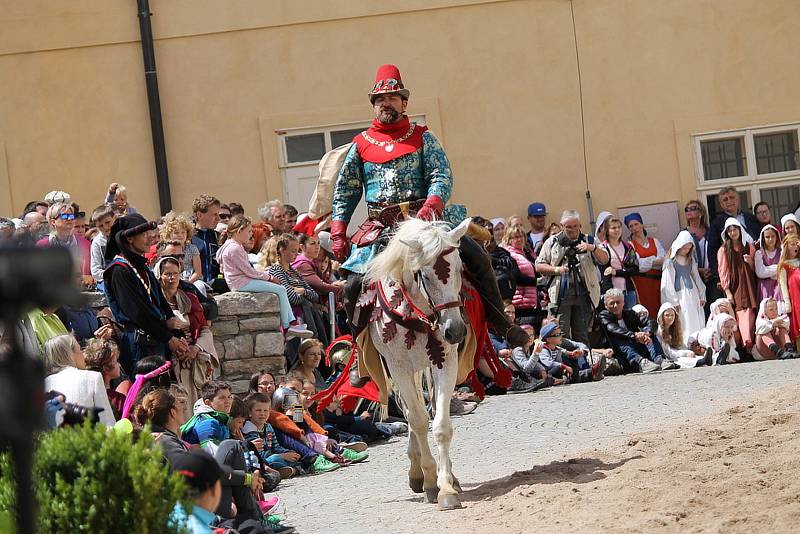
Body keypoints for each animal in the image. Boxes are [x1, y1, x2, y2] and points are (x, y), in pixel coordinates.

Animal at [362, 217, 468, 510]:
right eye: (425, 275)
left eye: (459, 268)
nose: (455, 331)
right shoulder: (397, 366)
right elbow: (419, 420)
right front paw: (431, 479)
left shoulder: (445, 361)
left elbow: (440, 424)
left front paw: (446, 487)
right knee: (412, 413)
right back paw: (418, 472)